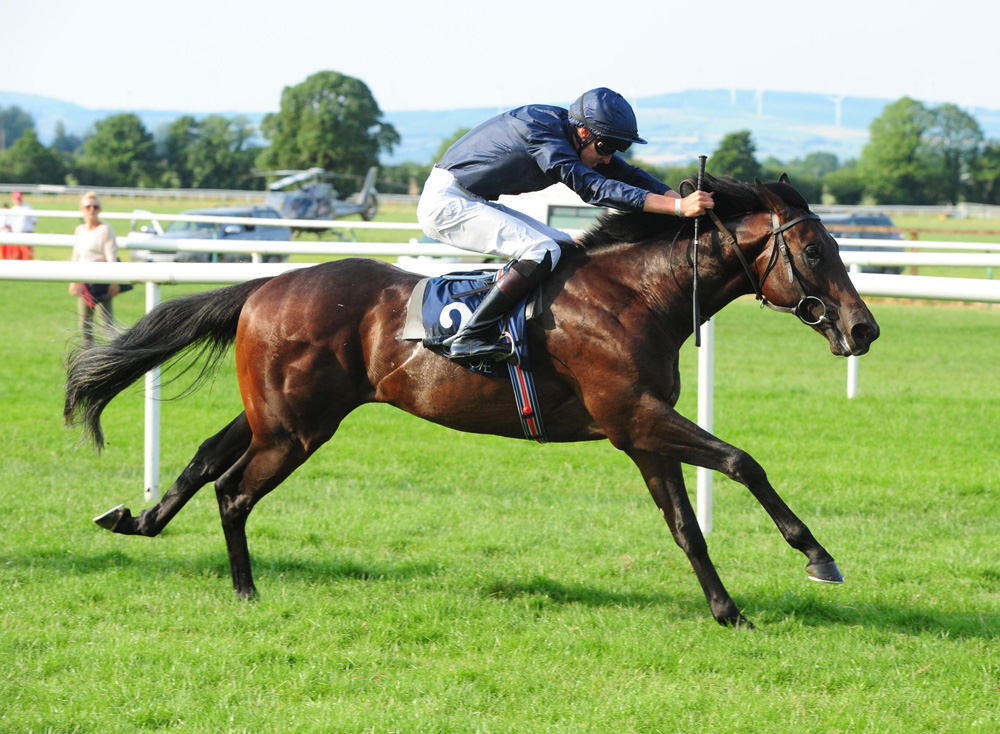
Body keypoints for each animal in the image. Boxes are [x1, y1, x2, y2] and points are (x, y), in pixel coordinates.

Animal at [64, 175, 876, 628]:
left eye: (839, 248)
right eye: (814, 252)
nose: (863, 327)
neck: (636, 295)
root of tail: (266, 284)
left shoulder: (643, 432)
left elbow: (687, 527)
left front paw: (727, 611)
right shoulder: (635, 417)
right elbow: (743, 461)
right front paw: (818, 556)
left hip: (279, 414)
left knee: (206, 459)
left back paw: (135, 520)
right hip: (297, 428)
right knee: (233, 491)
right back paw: (246, 591)